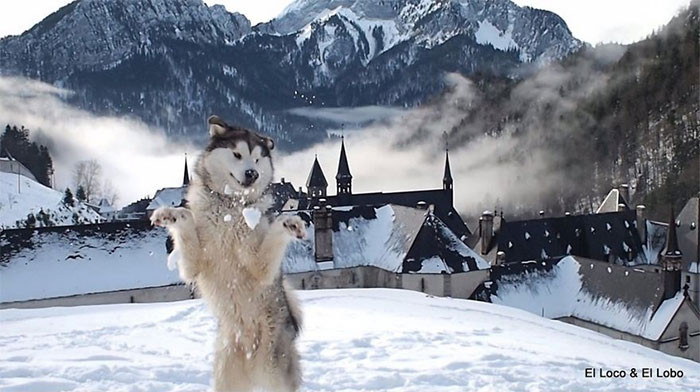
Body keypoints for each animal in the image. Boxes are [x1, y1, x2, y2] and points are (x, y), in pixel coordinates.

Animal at [152, 116, 304, 392]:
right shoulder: (194, 265)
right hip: (226, 372)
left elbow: (274, 232)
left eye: (257, 159)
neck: (230, 209)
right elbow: (186, 218)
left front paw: (289, 222)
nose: (252, 173)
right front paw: (170, 215)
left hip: (274, 369)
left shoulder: (261, 266)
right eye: (237, 154)